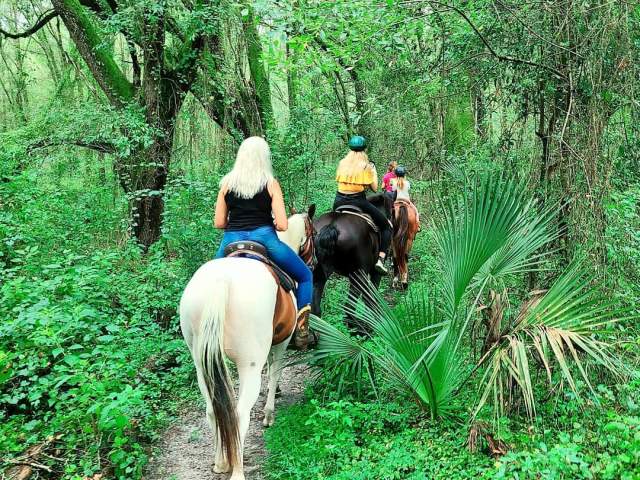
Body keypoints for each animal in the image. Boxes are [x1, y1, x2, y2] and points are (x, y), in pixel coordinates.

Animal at [179, 212, 314, 480]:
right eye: (313, 233)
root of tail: (221, 282)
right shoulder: (281, 342)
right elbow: (274, 373)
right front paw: (269, 414)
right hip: (249, 364)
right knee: (240, 413)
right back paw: (237, 470)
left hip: (202, 363)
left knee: (214, 409)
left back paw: (221, 462)